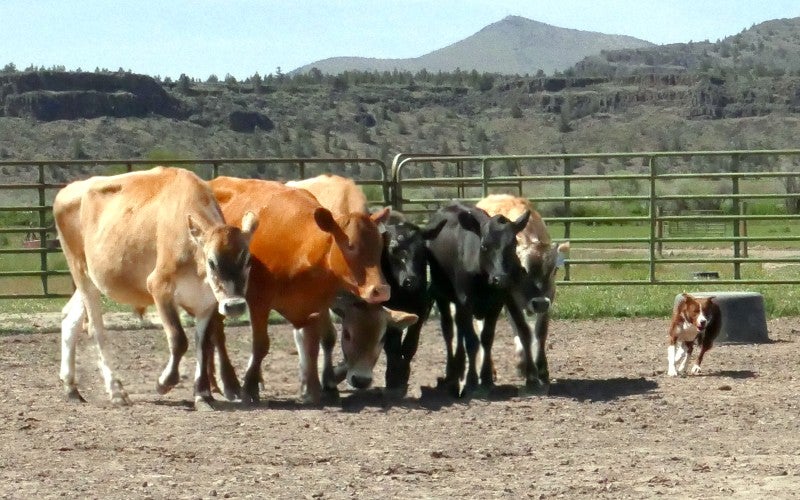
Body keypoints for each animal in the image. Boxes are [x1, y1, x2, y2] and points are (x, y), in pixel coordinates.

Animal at [53, 166, 258, 408]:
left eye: (247, 261)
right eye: (212, 262)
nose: (234, 306)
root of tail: (68, 190)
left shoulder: (207, 301)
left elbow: (203, 343)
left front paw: (202, 394)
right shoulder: (160, 287)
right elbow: (178, 339)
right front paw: (165, 382)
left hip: (92, 280)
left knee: (70, 318)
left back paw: (71, 387)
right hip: (80, 271)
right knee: (96, 329)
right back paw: (116, 391)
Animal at [380, 216, 444, 394]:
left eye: (423, 251)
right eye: (392, 250)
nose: (411, 280)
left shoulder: (420, 311)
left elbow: (410, 345)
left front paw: (403, 374)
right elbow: (392, 346)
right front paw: (393, 378)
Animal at [424, 201, 532, 396]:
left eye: (513, 244)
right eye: (484, 246)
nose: (500, 278)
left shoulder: (495, 304)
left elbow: (486, 338)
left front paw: (487, 377)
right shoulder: (465, 302)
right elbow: (472, 341)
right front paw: (472, 380)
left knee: (460, 331)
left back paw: (459, 368)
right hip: (441, 294)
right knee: (449, 331)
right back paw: (451, 372)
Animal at [476, 193, 568, 392]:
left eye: (554, 270)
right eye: (522, 269)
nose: (539, 303)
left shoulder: (549, 298)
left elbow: (540, 332)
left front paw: (542, 370)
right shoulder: (510, 297)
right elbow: (524, 330)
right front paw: (532, 375)